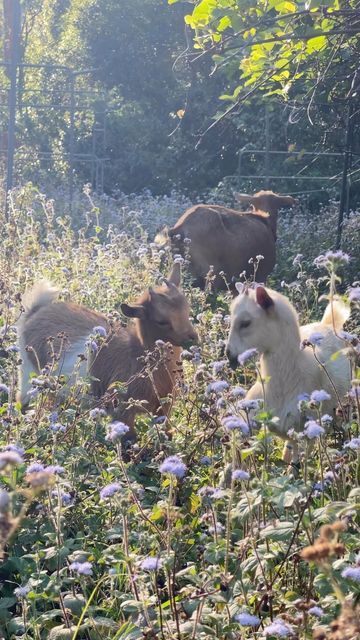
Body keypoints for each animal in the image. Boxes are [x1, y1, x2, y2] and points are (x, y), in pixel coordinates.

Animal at [16, 262, 197, 440]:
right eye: (161, 321)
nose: (193, 338)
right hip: (29, 374)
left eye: (186, 307)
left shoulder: (163, 408)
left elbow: (167, 434)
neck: (136, 354)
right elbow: (129, 441)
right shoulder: (122, 410)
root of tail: (35, 311)